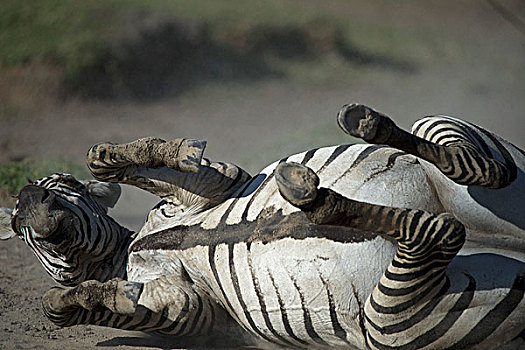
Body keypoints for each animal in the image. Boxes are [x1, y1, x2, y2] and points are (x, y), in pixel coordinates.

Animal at [4, 104, 524, 350]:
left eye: (63, 183)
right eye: (15, 220)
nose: (29, 199)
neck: (127, 254)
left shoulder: (213, 186)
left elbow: (113, 160)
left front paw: (140, 154)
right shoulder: (189, 308)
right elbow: (63, 304)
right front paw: (84, 298)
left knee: (486, 171)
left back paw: (364, 135)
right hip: (392, 322)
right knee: (445, 227)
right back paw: (320, 199)